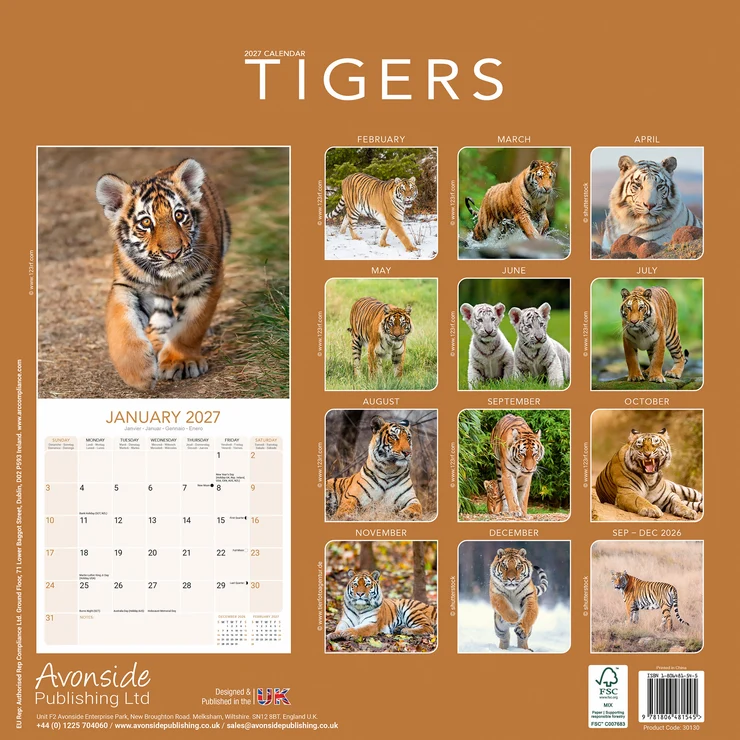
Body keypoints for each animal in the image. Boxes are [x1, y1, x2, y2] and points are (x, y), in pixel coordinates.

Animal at [95, 159, 230, 391]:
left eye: (179, 215)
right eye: (146, 223)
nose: (173, 253)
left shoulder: (205, 283)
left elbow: (191, 326)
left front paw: (180, 362)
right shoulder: (128, 285)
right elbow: (122, 325)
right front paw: (138, 373)